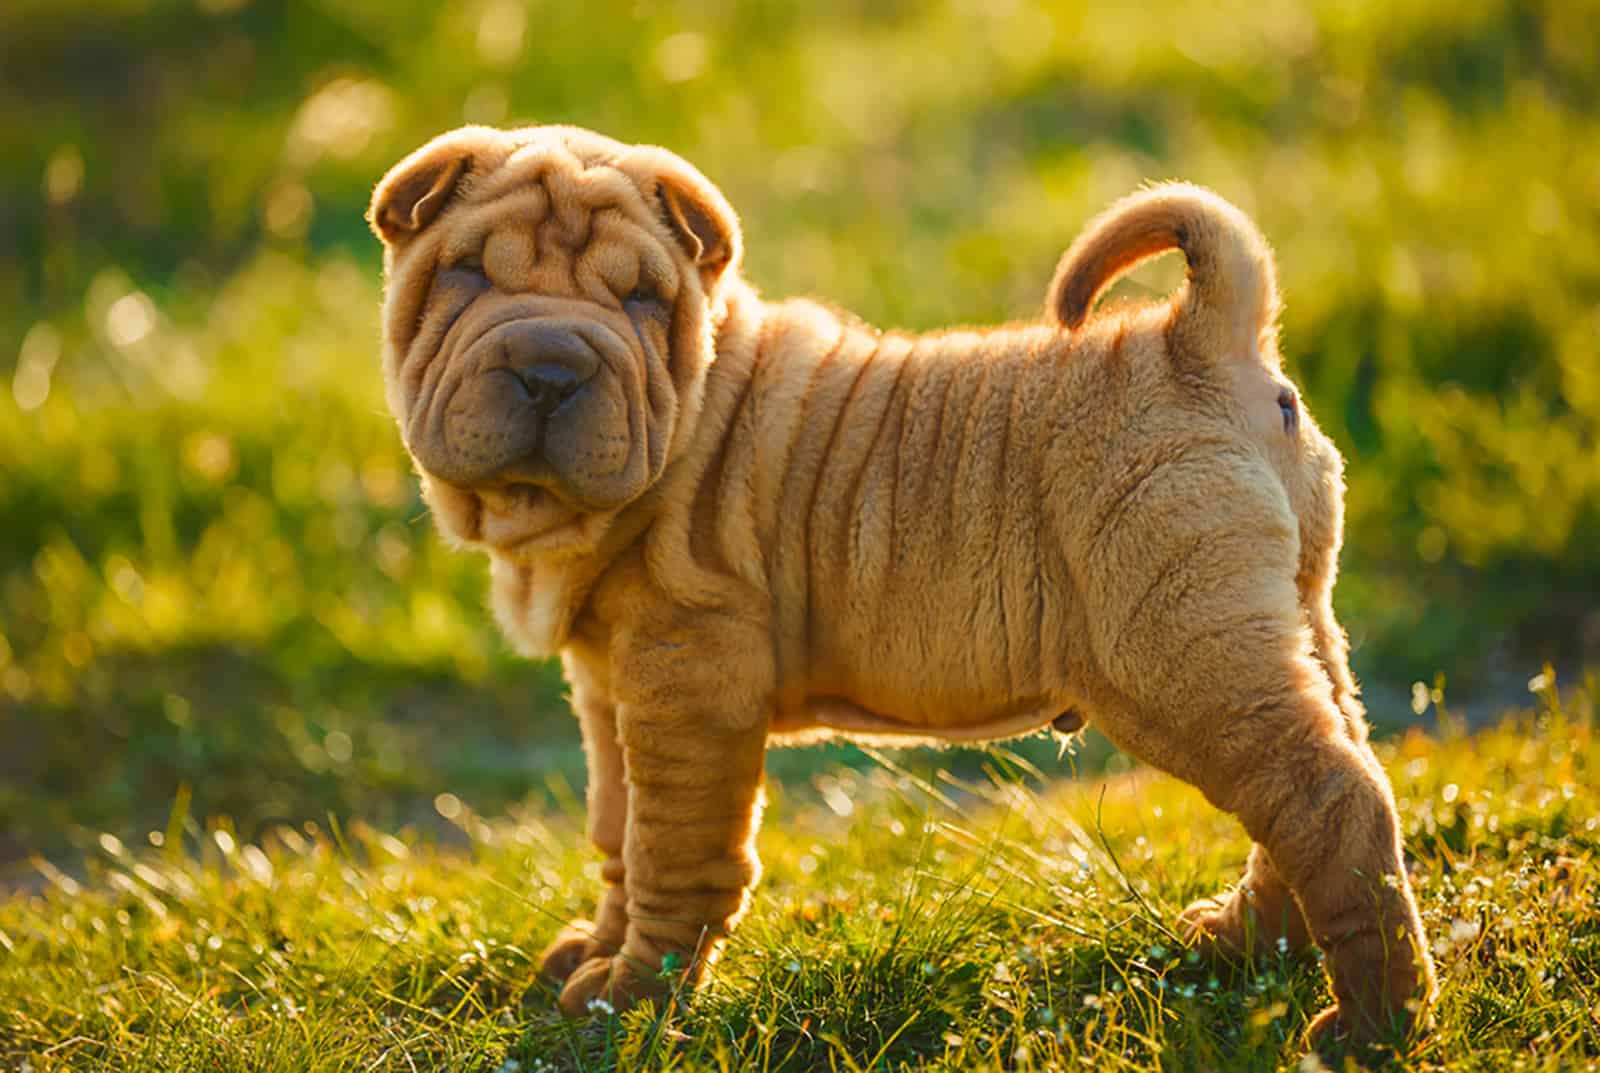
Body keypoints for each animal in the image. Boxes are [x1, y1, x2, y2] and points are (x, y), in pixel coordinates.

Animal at [371, 123, 1440, 1049]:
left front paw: (630, 1001)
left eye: (640, 298)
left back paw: (1372, 1024)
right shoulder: (607, 693)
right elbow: (616, 833)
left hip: (1180, 653)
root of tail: (1198, 338)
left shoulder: (690, 685)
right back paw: (1240, 945)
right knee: (1335, 768)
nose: (550, 366)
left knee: (1325, 794)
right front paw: (592, 955)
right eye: (467, 273)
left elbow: (674, 850)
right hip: (1287, 619)